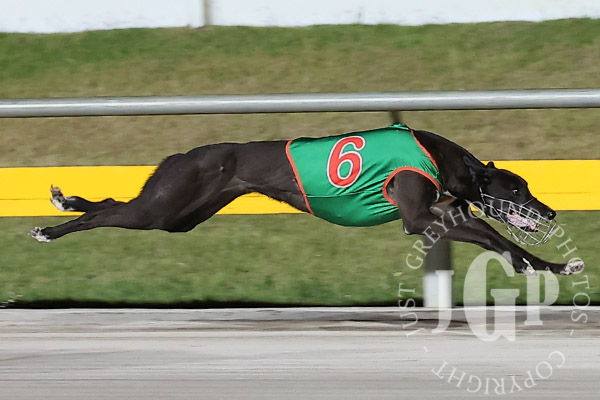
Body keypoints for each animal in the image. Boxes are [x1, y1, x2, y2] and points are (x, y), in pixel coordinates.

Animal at [29, 123, 584, 276]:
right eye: (518, 189)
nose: (550, 211)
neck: (441, 157)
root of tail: (183, 154)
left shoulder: (442, 214)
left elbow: (494, 237)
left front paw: (551, 267)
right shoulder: (418, 216)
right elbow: (491, 234)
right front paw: (537, 265)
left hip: (178, 215)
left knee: (109, 205)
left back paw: (66, 202)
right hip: (163, 205)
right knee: (108, 212)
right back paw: (51, 226)